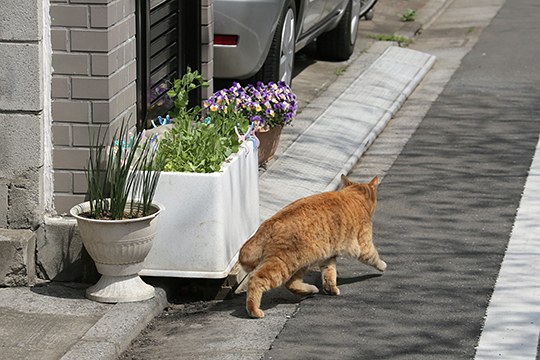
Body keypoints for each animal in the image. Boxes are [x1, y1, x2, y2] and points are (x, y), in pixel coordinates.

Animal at [238, 174, 386, 318]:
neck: (354, 195)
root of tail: (268, 223)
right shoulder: (363, 246)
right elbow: (374, 257)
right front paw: (383, 266)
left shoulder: (328, 257)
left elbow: (329, 274)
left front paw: (330, 289)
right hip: (284, 264)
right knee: (256, 280)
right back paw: (254, 311)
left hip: (302, 263)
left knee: (291, 284)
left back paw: (311, 290)